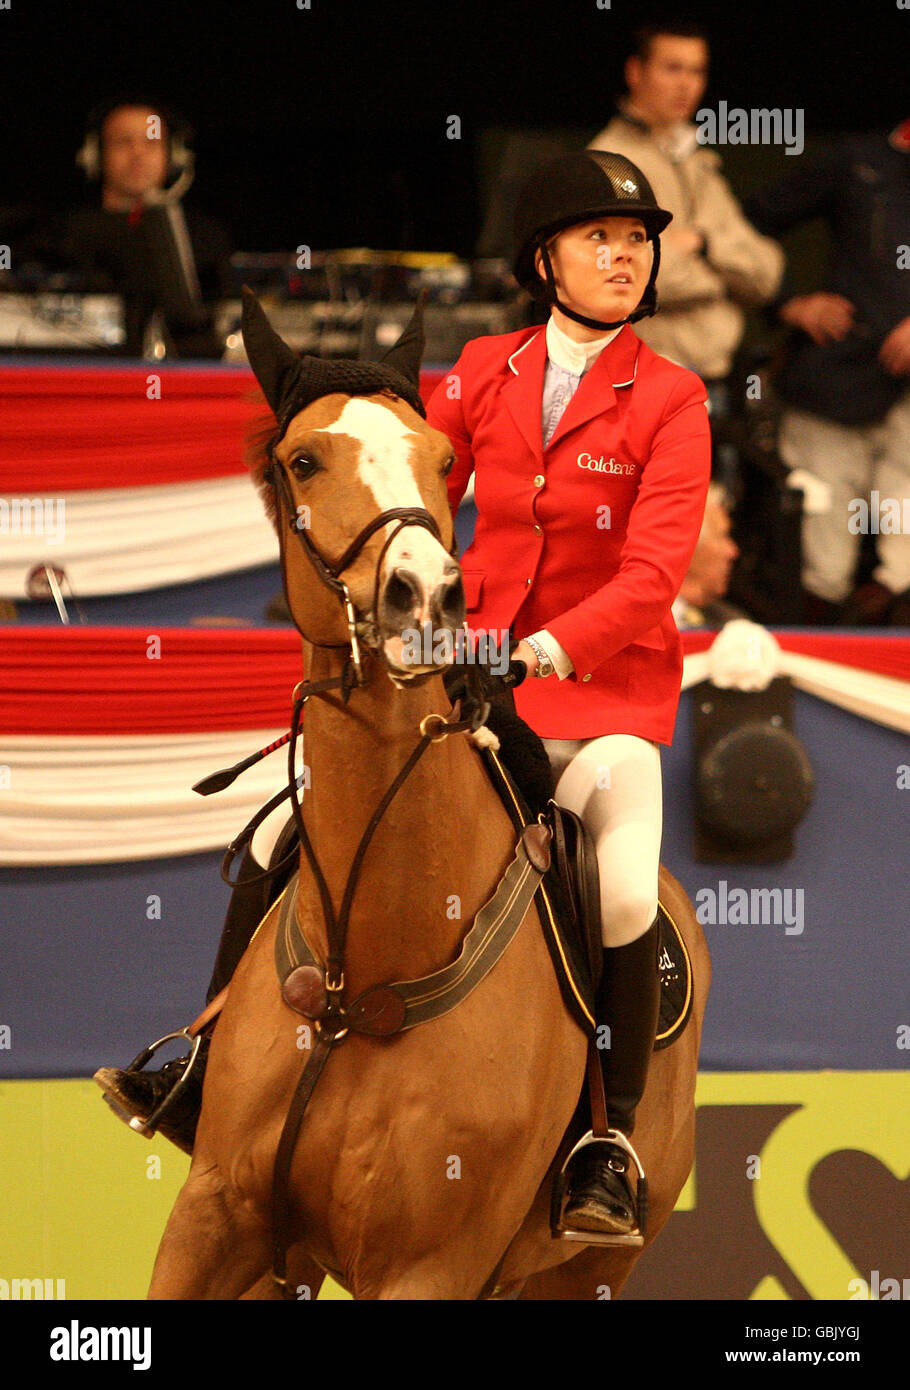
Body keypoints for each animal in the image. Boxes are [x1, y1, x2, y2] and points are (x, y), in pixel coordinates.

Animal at [145, 296, 708, 1301]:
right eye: (303, 460)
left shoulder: (429, 1269)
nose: (427, 599)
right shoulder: (215, 1219)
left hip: (587, 1269)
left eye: (442, 459)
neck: (361, 968)